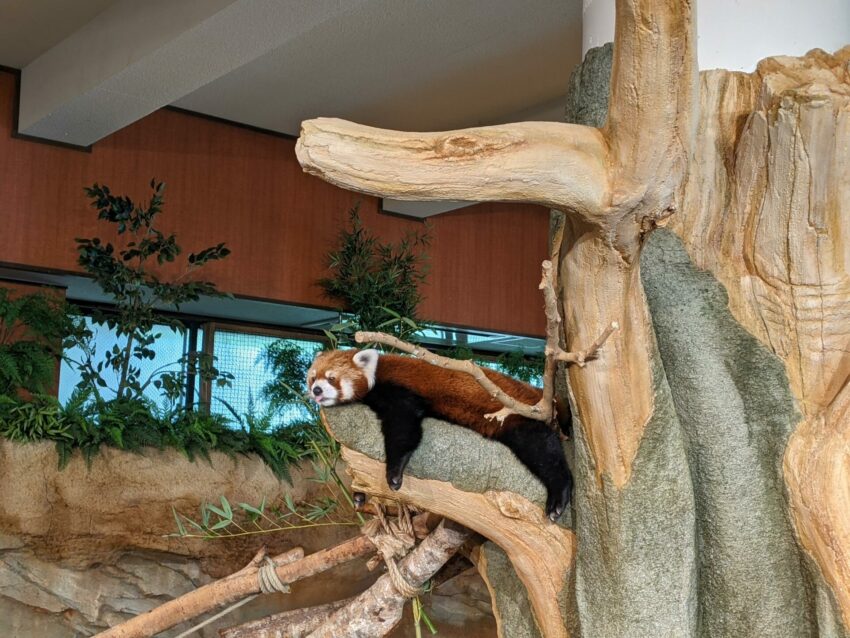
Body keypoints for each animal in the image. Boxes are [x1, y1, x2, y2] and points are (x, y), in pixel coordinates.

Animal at [304, 348, 568, 524]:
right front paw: (360, 495)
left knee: (542, 449)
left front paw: (393, 473)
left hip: (516, 415)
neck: (376, 375)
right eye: (312, 378)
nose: (316, 390)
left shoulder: (398, 390)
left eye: (331, 378)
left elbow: (404, 426)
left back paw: (559, 494)